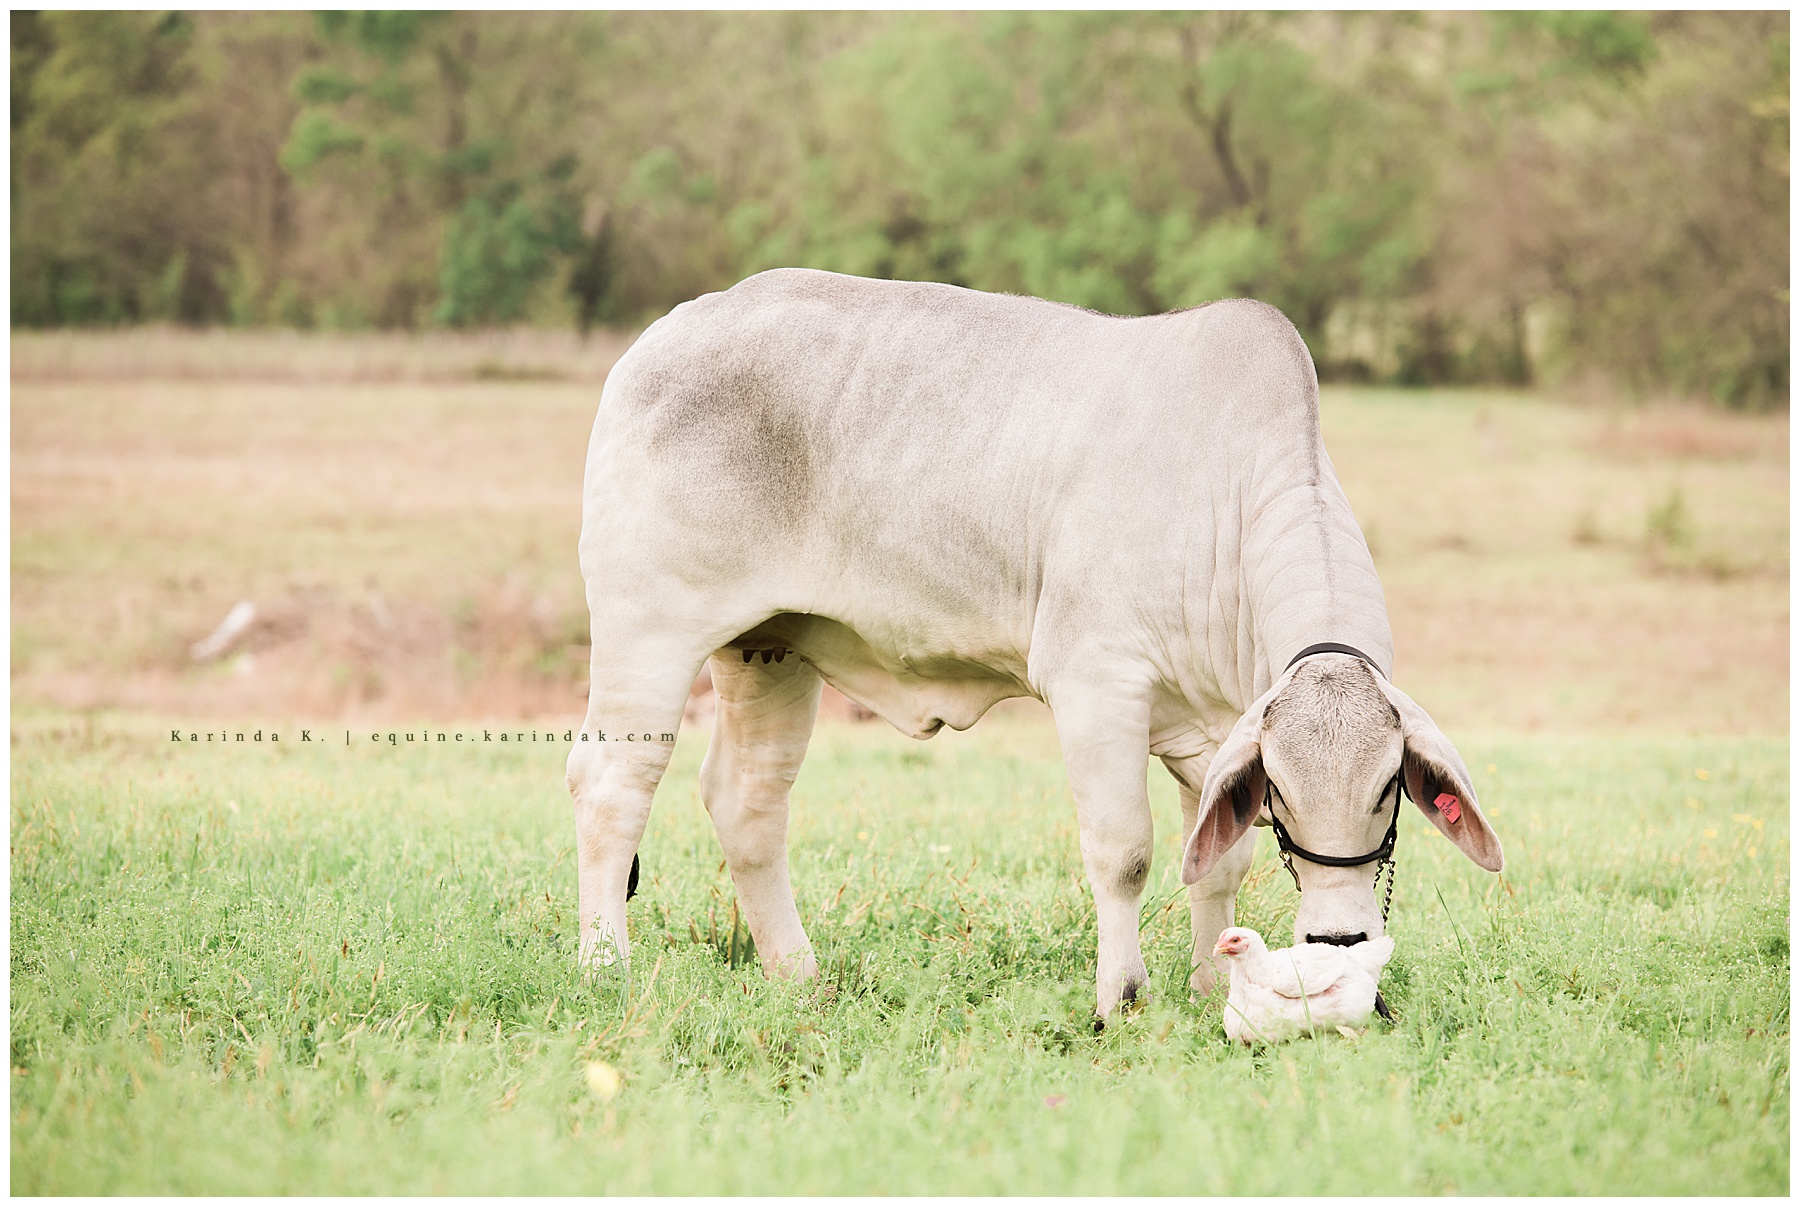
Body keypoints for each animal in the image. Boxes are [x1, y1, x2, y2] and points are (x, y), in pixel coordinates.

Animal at [566, 268, 1504, 1023]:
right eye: (1284, 789)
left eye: (1388, 786)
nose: (1341, 940)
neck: (1230, 499)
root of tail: (672, 329)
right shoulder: (1096, 683)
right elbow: (1125, 852)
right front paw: (1122, 997)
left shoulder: (1216, 729)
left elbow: (1217, 861)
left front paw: (1211, 986)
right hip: (647, 628)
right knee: (612, 784)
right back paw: (605, 968)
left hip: (768, 650)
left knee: (747, 801)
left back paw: (798, 975)